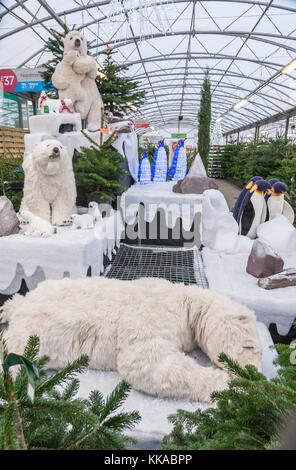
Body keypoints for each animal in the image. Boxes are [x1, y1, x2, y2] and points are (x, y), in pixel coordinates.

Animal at [2, 278, 262, 402]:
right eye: (250, 347)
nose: (255, 374)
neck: (184, 301)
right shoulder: (152, 311)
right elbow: (146, 361)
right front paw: (233, 383)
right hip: (32, 332)